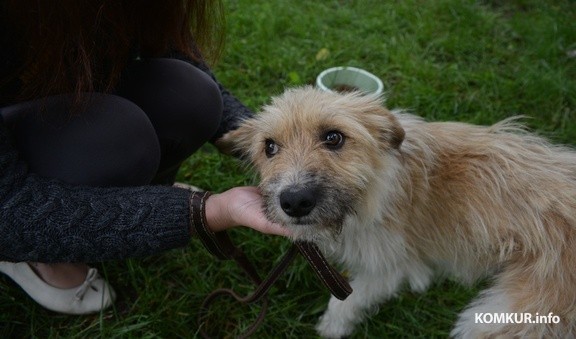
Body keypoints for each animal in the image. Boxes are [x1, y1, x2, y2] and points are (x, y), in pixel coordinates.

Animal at [218, 87, 576, 339]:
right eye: (269, 147)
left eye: (333, 137)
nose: (294, 202)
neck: (375, 185)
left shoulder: (386, 267)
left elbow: (346, 301)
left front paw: (331, 327)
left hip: (507, 318)